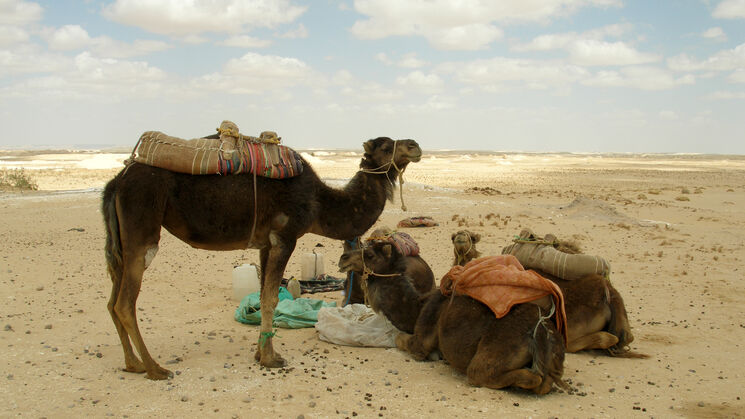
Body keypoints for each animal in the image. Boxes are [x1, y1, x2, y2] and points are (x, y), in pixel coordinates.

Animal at [101, 137, 422, 380]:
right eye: (386, 146)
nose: (415, 145)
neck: (319, 203)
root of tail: (117, 181)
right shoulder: (285, 236)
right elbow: (270, 297)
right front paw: (271, 358)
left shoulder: (266, 244)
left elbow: (265, 293)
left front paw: (259, 353)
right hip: (141, 230)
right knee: (125, 303)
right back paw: (154, 368)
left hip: (121, 243)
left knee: (112, 301)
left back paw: (133, 364)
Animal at [338, 240, 564, 394]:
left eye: (368, 254)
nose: (343, 258)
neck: (418, 306)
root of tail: (540, 332)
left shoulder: (421, 338)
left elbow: (401, 339)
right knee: (545, 382)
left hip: (491, 355)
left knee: (489, 373)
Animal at [450, 230, 644, 358]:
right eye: (454, 237)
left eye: (471, 237)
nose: (460, 238)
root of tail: (608, 294)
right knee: (622, 337)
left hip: (571, 322)